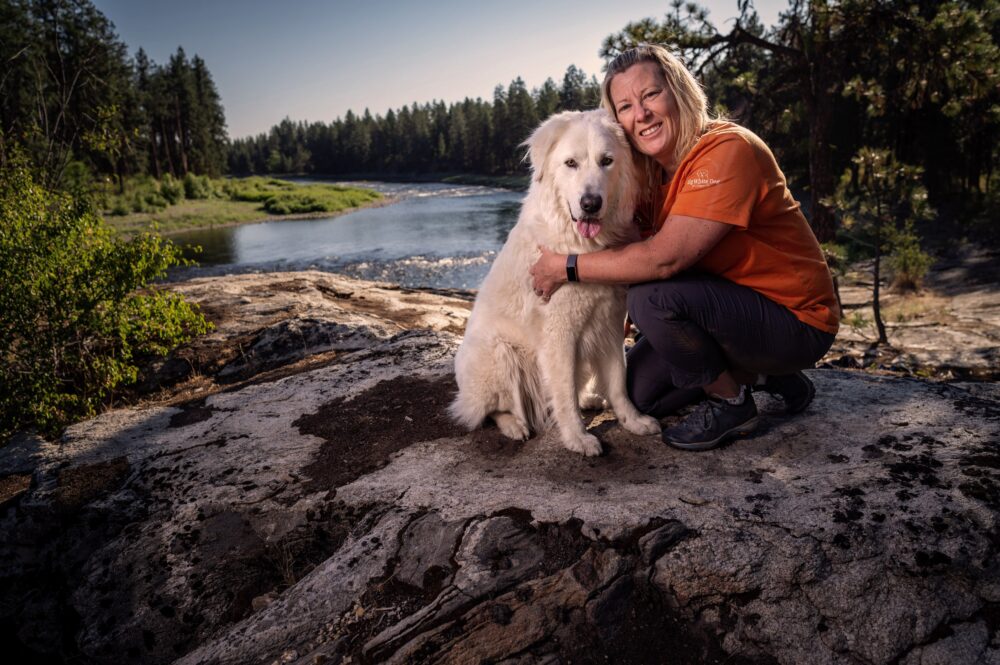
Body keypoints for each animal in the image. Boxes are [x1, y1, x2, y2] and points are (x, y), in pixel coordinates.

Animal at [450, 110, 660, 456]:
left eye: (606, 161)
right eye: (570, 163)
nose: (590, 204)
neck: (580, 246)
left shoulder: (610, 323)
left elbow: (618, 381)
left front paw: (633, 421)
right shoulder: (559, 333)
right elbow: (563, 393)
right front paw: (577, 438)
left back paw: (590, 399)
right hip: (499, 353)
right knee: (490, 410)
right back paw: (514, 425)